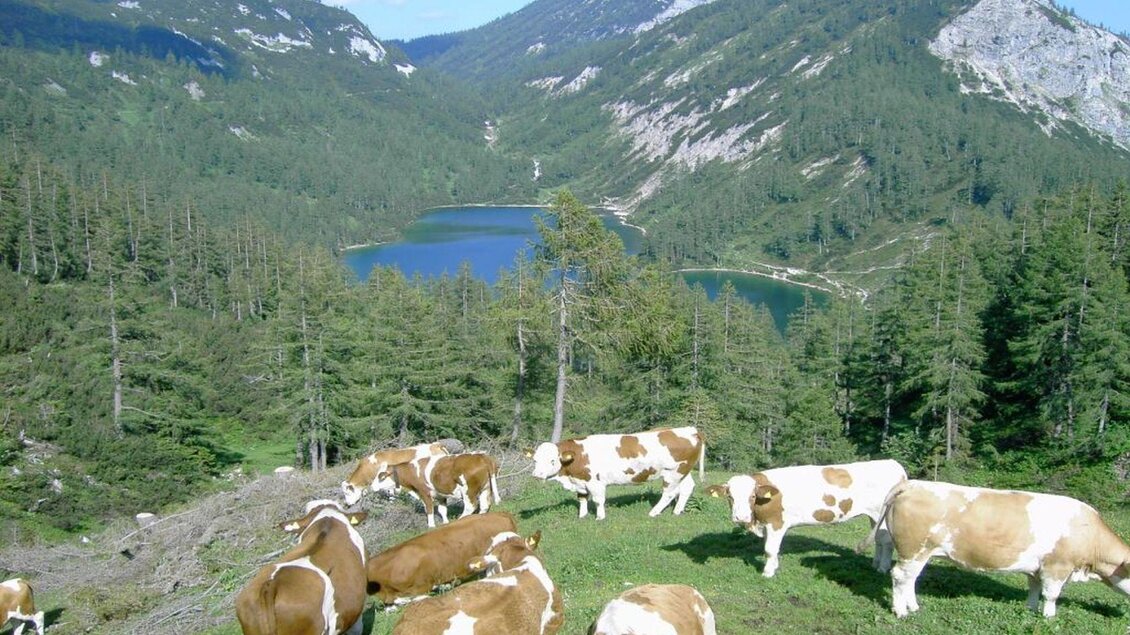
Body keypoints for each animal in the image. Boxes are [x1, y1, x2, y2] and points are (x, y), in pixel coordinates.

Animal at [372, 452, 501, 527]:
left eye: (381, 477)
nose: (372, 486)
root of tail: (482, 456)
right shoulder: (440, 495)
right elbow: (442, 510)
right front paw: (445, 522)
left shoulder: (424, 492)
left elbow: (429, 509)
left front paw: (431, 525)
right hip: (485, 488)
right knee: (484, 505)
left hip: (469, 491)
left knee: (471, 506)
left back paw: (460, 520)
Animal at [529, 426, 704, 520]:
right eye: (535, 460)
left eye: (552, 460)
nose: (537, 474)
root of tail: (690, 430)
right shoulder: (581, 481)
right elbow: (582, 498)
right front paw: (582, 516)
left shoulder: (595, 482)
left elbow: (598, 500)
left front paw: (600, 517)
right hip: (683, 471)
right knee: (687, 488)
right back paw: (677, 511)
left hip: (673, 473)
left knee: (669, 493)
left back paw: (654, 512)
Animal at [706, 458, 906, 577]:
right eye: (730, 496)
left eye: (752, 496)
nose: (741, 516)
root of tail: (892, 463)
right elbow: (773, 550)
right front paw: (775, 566)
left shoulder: (776, 523)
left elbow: (770, 549)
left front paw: (768, 572)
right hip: (876, 517)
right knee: (879, 539)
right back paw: (875, 564)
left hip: (881, 513)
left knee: (886, 542)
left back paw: (882, 568)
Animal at [856, 479, 1130, 618]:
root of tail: (913, 484)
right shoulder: (1057, 566)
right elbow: (1051, 595)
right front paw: (1049, 617)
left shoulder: (1037, 568)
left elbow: (1034, 589)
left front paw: (1031, 609)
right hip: (914, 549)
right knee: (900, 577)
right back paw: (901, 611)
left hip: (920, 553)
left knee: (910, 579)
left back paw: (913, 606)